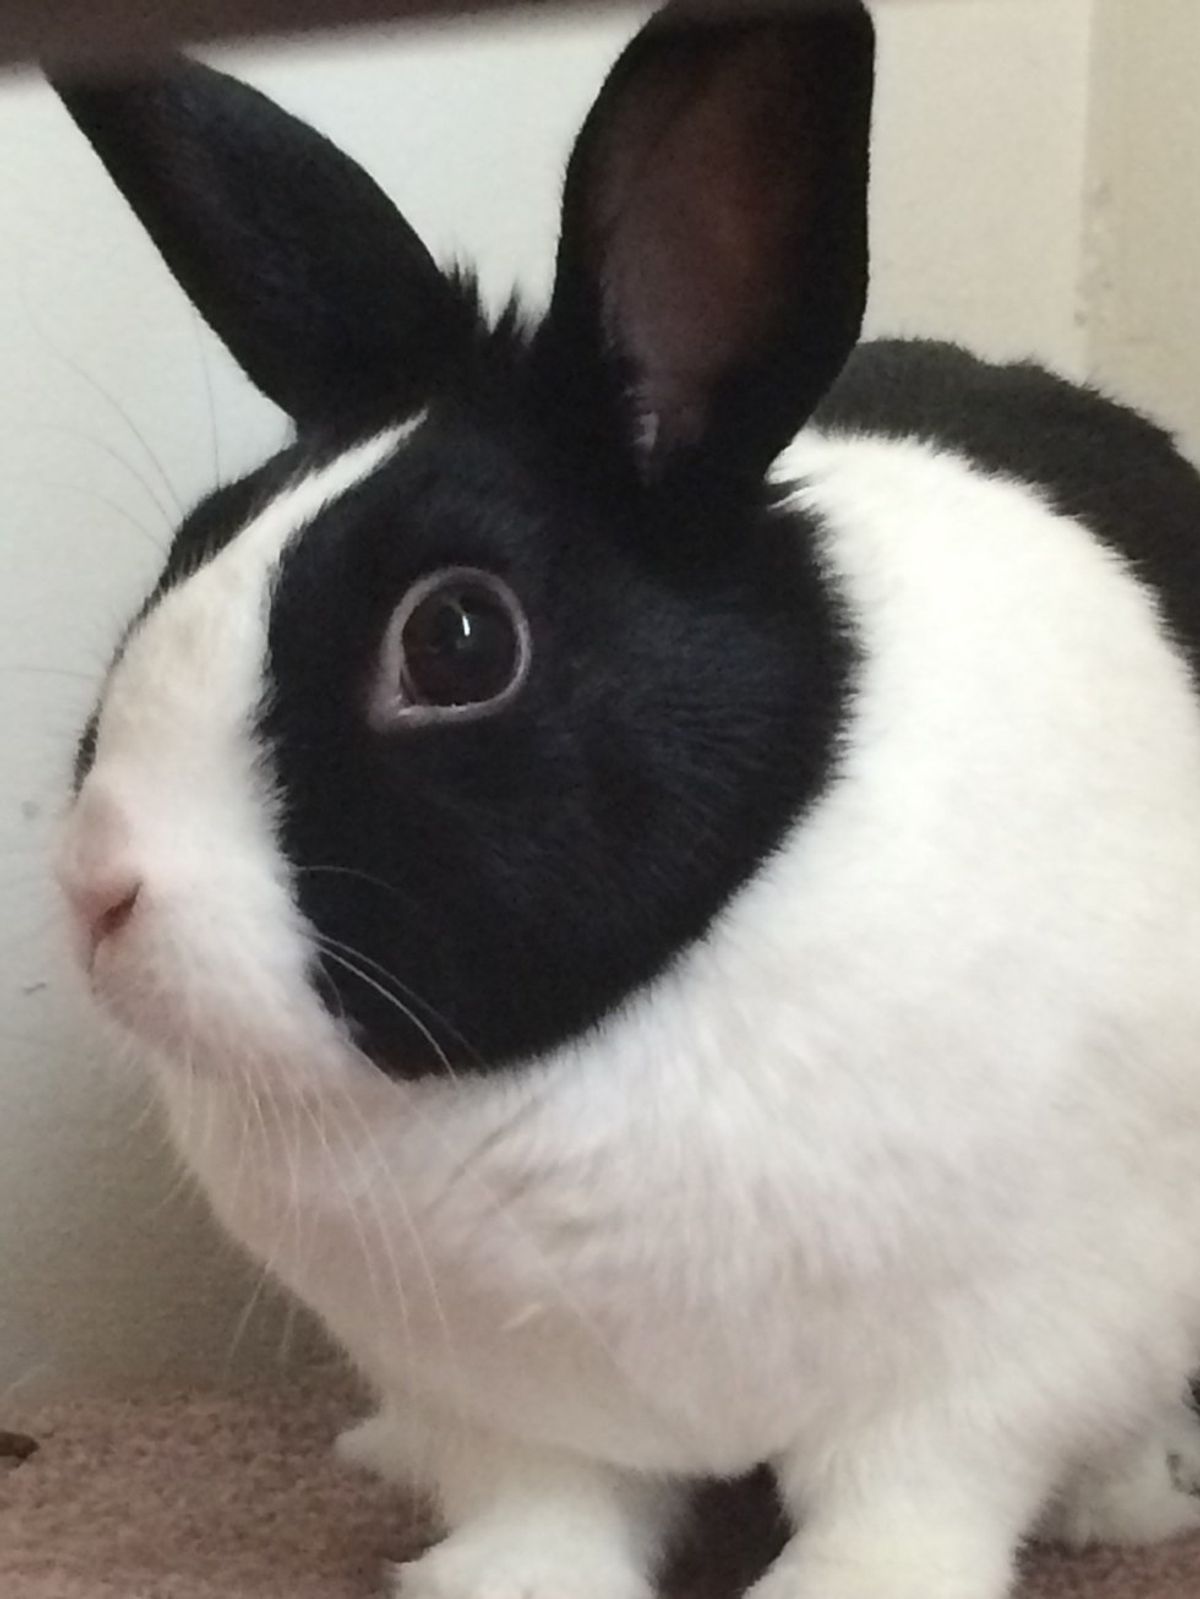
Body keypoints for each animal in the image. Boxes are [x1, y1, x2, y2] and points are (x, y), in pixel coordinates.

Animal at [48, 2, 1200, 1596]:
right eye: (192, 544)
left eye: (457, 640)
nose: (98, 888)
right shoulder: (506, 1398)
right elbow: (547, 1500)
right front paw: (503, 1581)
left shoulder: (984, 1370)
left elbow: (909, 1503)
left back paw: (1131, 1502)